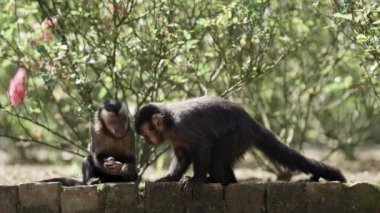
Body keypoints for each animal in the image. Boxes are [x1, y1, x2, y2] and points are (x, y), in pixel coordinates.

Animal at [134, 95, 348, 191]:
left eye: (146, 132)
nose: (146, 140)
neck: (170, 123)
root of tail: (252, 123)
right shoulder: (176, 137)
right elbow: (182, 155)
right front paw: (169, 178)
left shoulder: (184, 127)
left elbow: (203, 146)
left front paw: (197, 180)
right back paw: (227, 181)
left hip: (239, 136)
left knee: (217, 154)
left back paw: (219, 181)